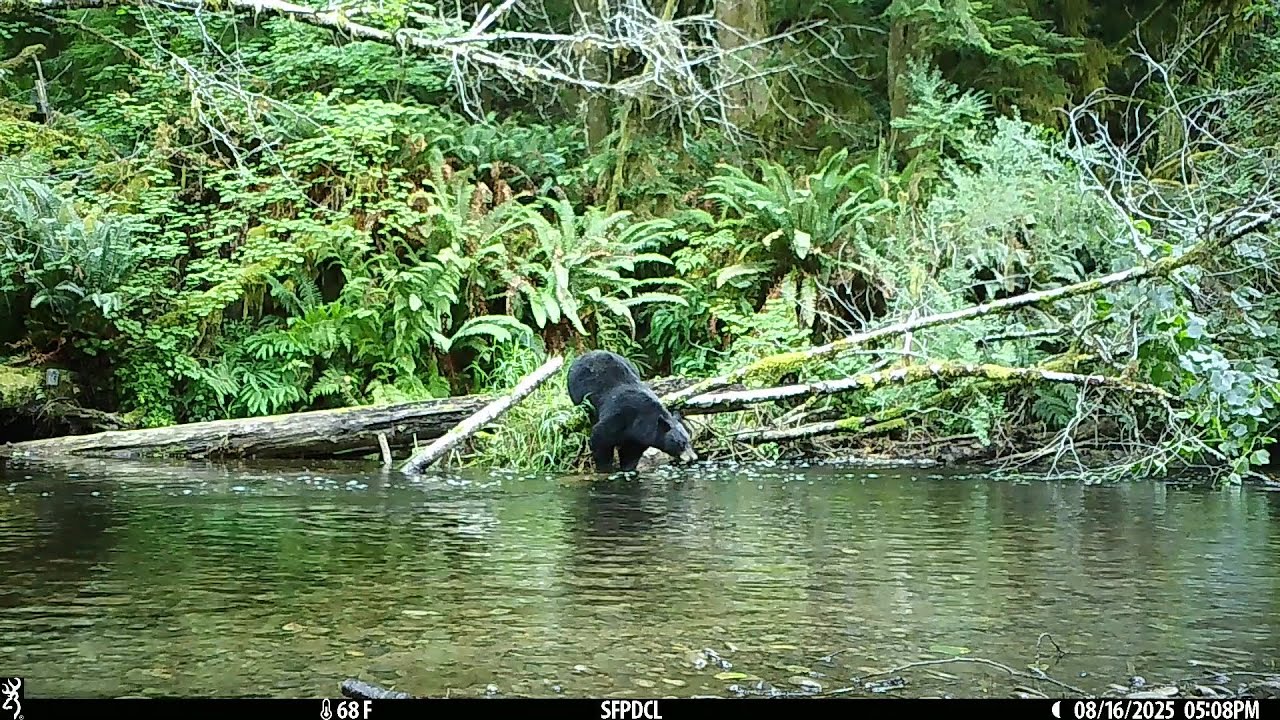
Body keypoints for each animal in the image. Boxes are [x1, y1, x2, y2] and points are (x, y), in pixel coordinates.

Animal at [567, 350, 698, 473]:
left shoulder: (639, 437)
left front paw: (628, 468)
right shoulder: (620, 416)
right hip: (577, 389)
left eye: (689, 441)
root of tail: (585, 354)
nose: (693, 458)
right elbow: (600, 437)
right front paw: (605, 468)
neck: (642, 421)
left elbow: (630, 453)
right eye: (681, 443)